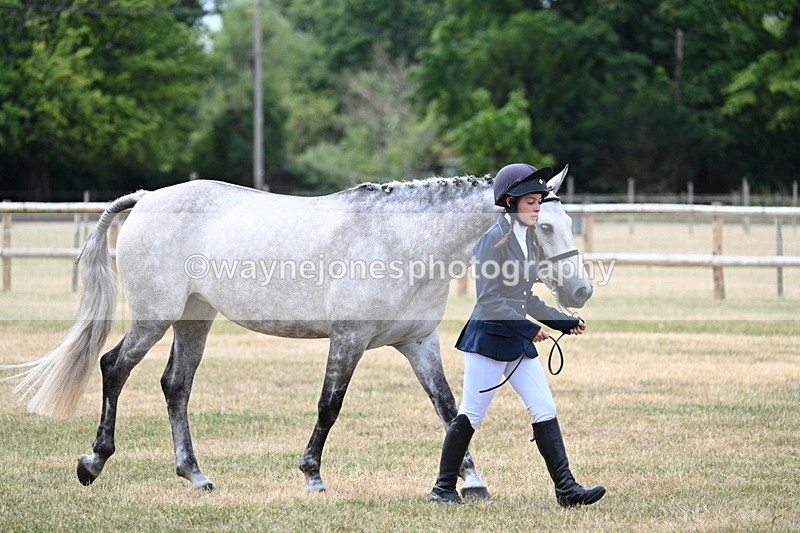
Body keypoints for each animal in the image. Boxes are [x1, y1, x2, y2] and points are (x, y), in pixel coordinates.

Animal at [0, 166, 591, 498]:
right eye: (541, 224)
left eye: (567, 222)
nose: (581, 292)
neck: (402, 240)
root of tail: (147, 198)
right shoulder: (348, 341)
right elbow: (329, 407)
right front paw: (312, 475)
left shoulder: (417, 343)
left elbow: (449, 411)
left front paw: (471, 480)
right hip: (155, 316)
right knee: (114, 367)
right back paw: (92, 462)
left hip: (195, 319)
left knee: (175, 386)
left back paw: (195, 476)